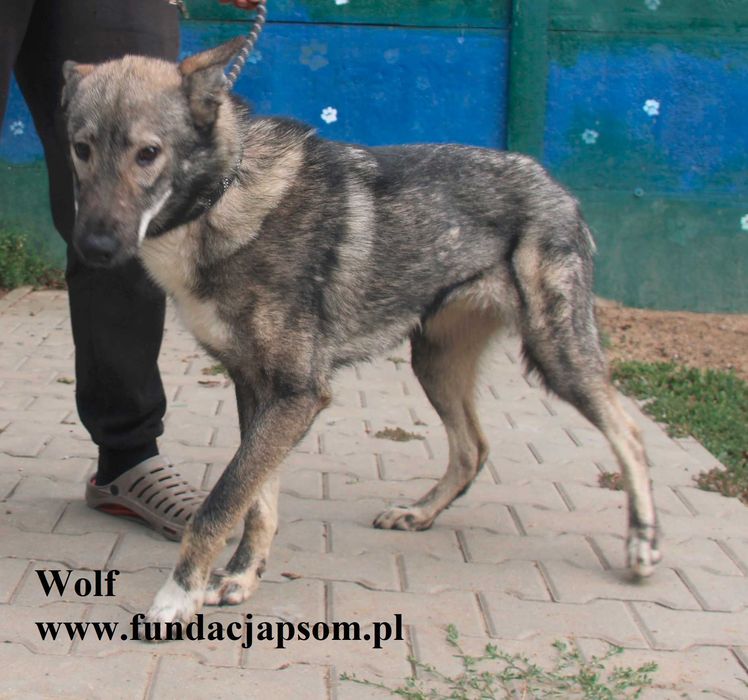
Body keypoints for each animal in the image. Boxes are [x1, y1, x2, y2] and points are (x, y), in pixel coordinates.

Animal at [61, 37, 660, 624]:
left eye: (147, 153)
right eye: (81, 149)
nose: (93, 248)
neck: (225, 196)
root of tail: (557, 186)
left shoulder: (297, 394)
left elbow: (224, 499)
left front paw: (178, 594)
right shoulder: (257, 389)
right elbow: (257, 500)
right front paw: (242, 576)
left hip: (557, 355)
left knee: (629, 433)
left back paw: (643, 544)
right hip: (435, 363)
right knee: (473, 447)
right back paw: (420, 513)